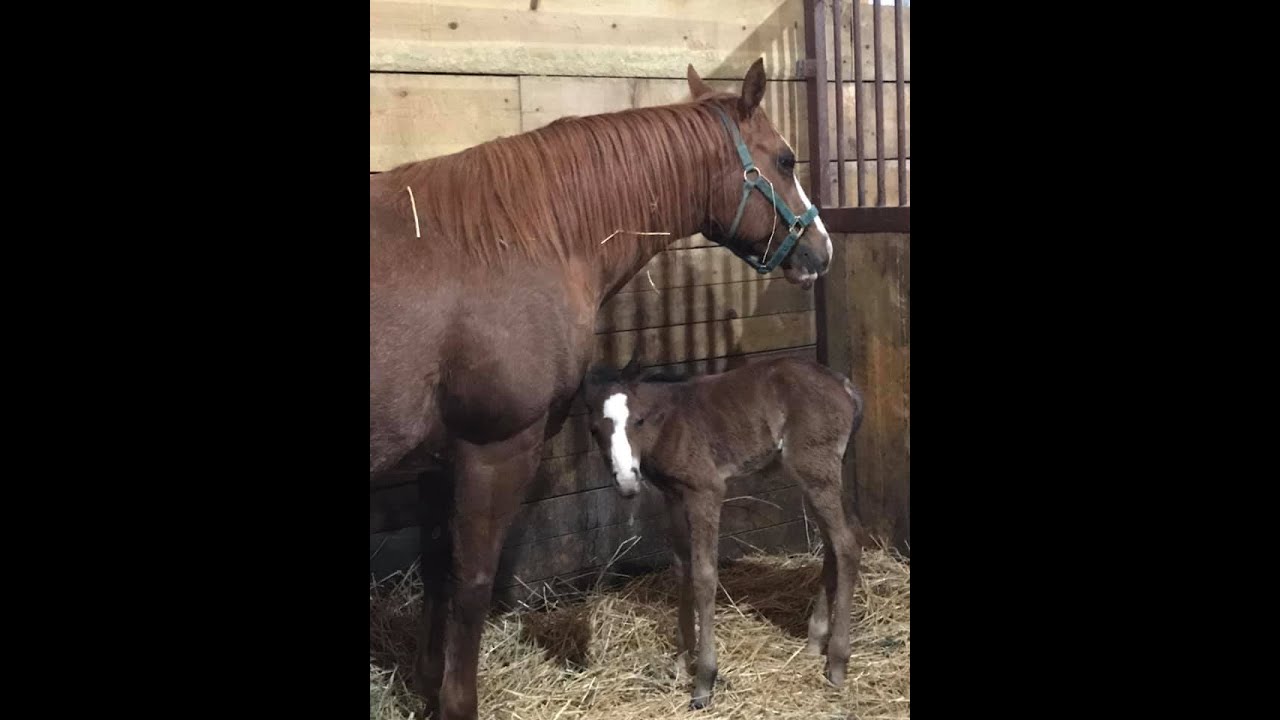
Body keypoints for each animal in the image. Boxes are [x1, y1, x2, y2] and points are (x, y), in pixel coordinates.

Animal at [369, 58, 833, 720]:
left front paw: (431, 687)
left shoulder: (440, 461)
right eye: (787, 160)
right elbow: (471, 583)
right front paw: (458, 701)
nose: (821, 251)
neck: (513, 239)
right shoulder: (493, 451)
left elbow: (437, 570)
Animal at [580, 355, 865, 709]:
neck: (670, 422)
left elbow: (704, 575)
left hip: (815, 468)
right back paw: (815, 642)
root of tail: (844, 385)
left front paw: (704, 681)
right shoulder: (673, 497)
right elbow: (682, 569)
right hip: (813, 475)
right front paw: (680, 664)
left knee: (846, 543)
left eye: (639, 421)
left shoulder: (706, 491)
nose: (628, 482)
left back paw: (837, 662)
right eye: (595, 429)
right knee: (832, 541)